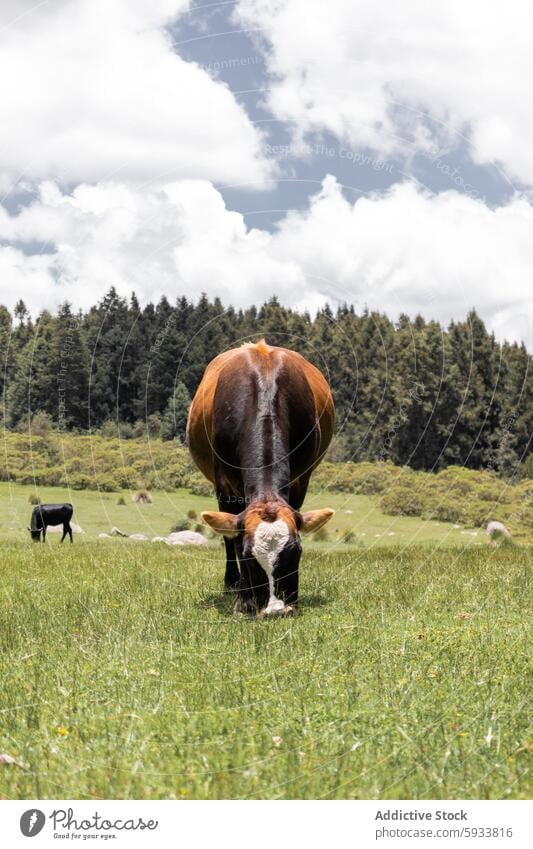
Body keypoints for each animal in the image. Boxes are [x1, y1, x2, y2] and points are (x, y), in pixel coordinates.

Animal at [185, 340, 332, 616]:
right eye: (247, 554)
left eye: (296, 551)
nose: (276, 609)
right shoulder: (224, 484)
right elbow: (231, 536)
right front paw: (242, 597)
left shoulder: (300, 480)